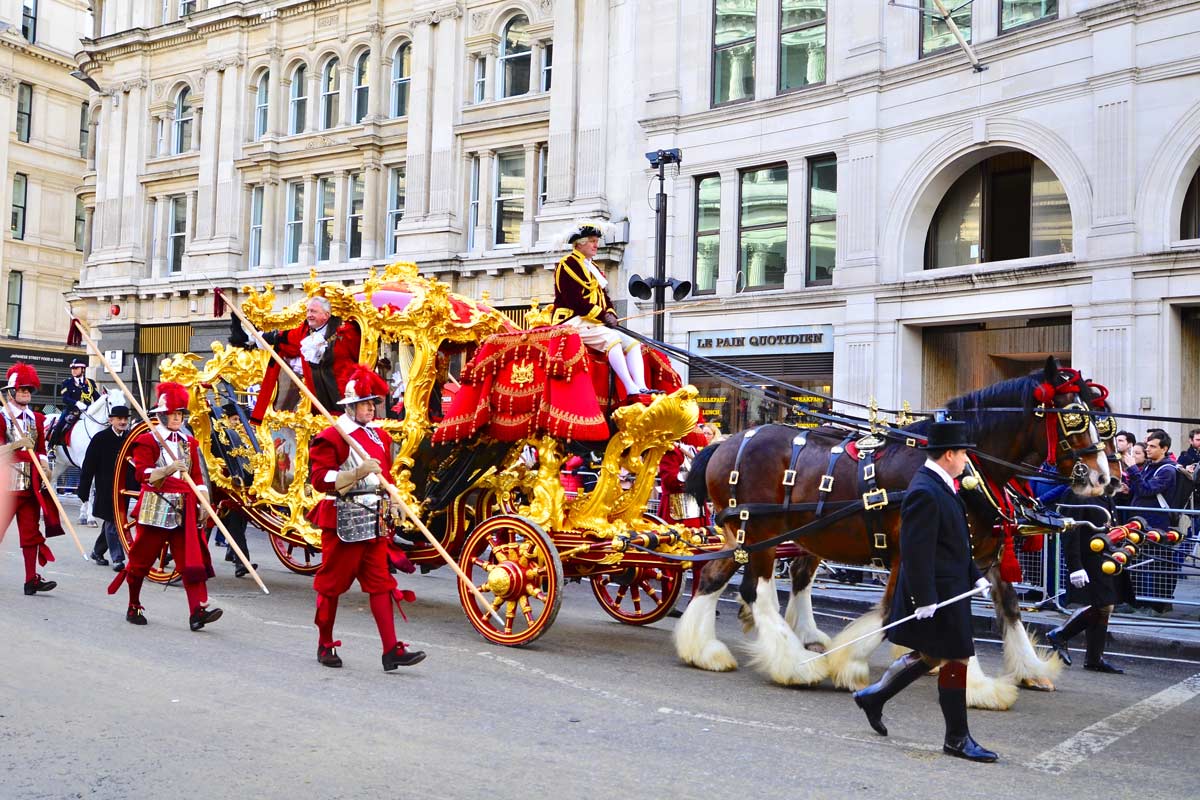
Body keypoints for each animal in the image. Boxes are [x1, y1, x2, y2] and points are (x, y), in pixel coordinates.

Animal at [45, 388, 127, 525]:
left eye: (124, 403)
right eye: (110, 403)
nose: (122, 422)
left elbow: (91, 487)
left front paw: (84, 515)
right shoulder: (86, 463)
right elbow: (87, 487)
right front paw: (89, 518)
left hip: (61, 464)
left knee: (52, 481)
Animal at [676, 359, 1104, 710]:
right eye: (1073, 417)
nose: (1103, 477)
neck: (964, 467)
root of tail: (725, 443)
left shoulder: (980, 554)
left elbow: (1009, 607)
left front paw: (1029, 670)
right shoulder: (914, 550)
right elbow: (895, 614)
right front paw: (850, 663)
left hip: (746, 537)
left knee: (716, 576)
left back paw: (703, 650)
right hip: (758, 533)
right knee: (759, 592)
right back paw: (796, 664)